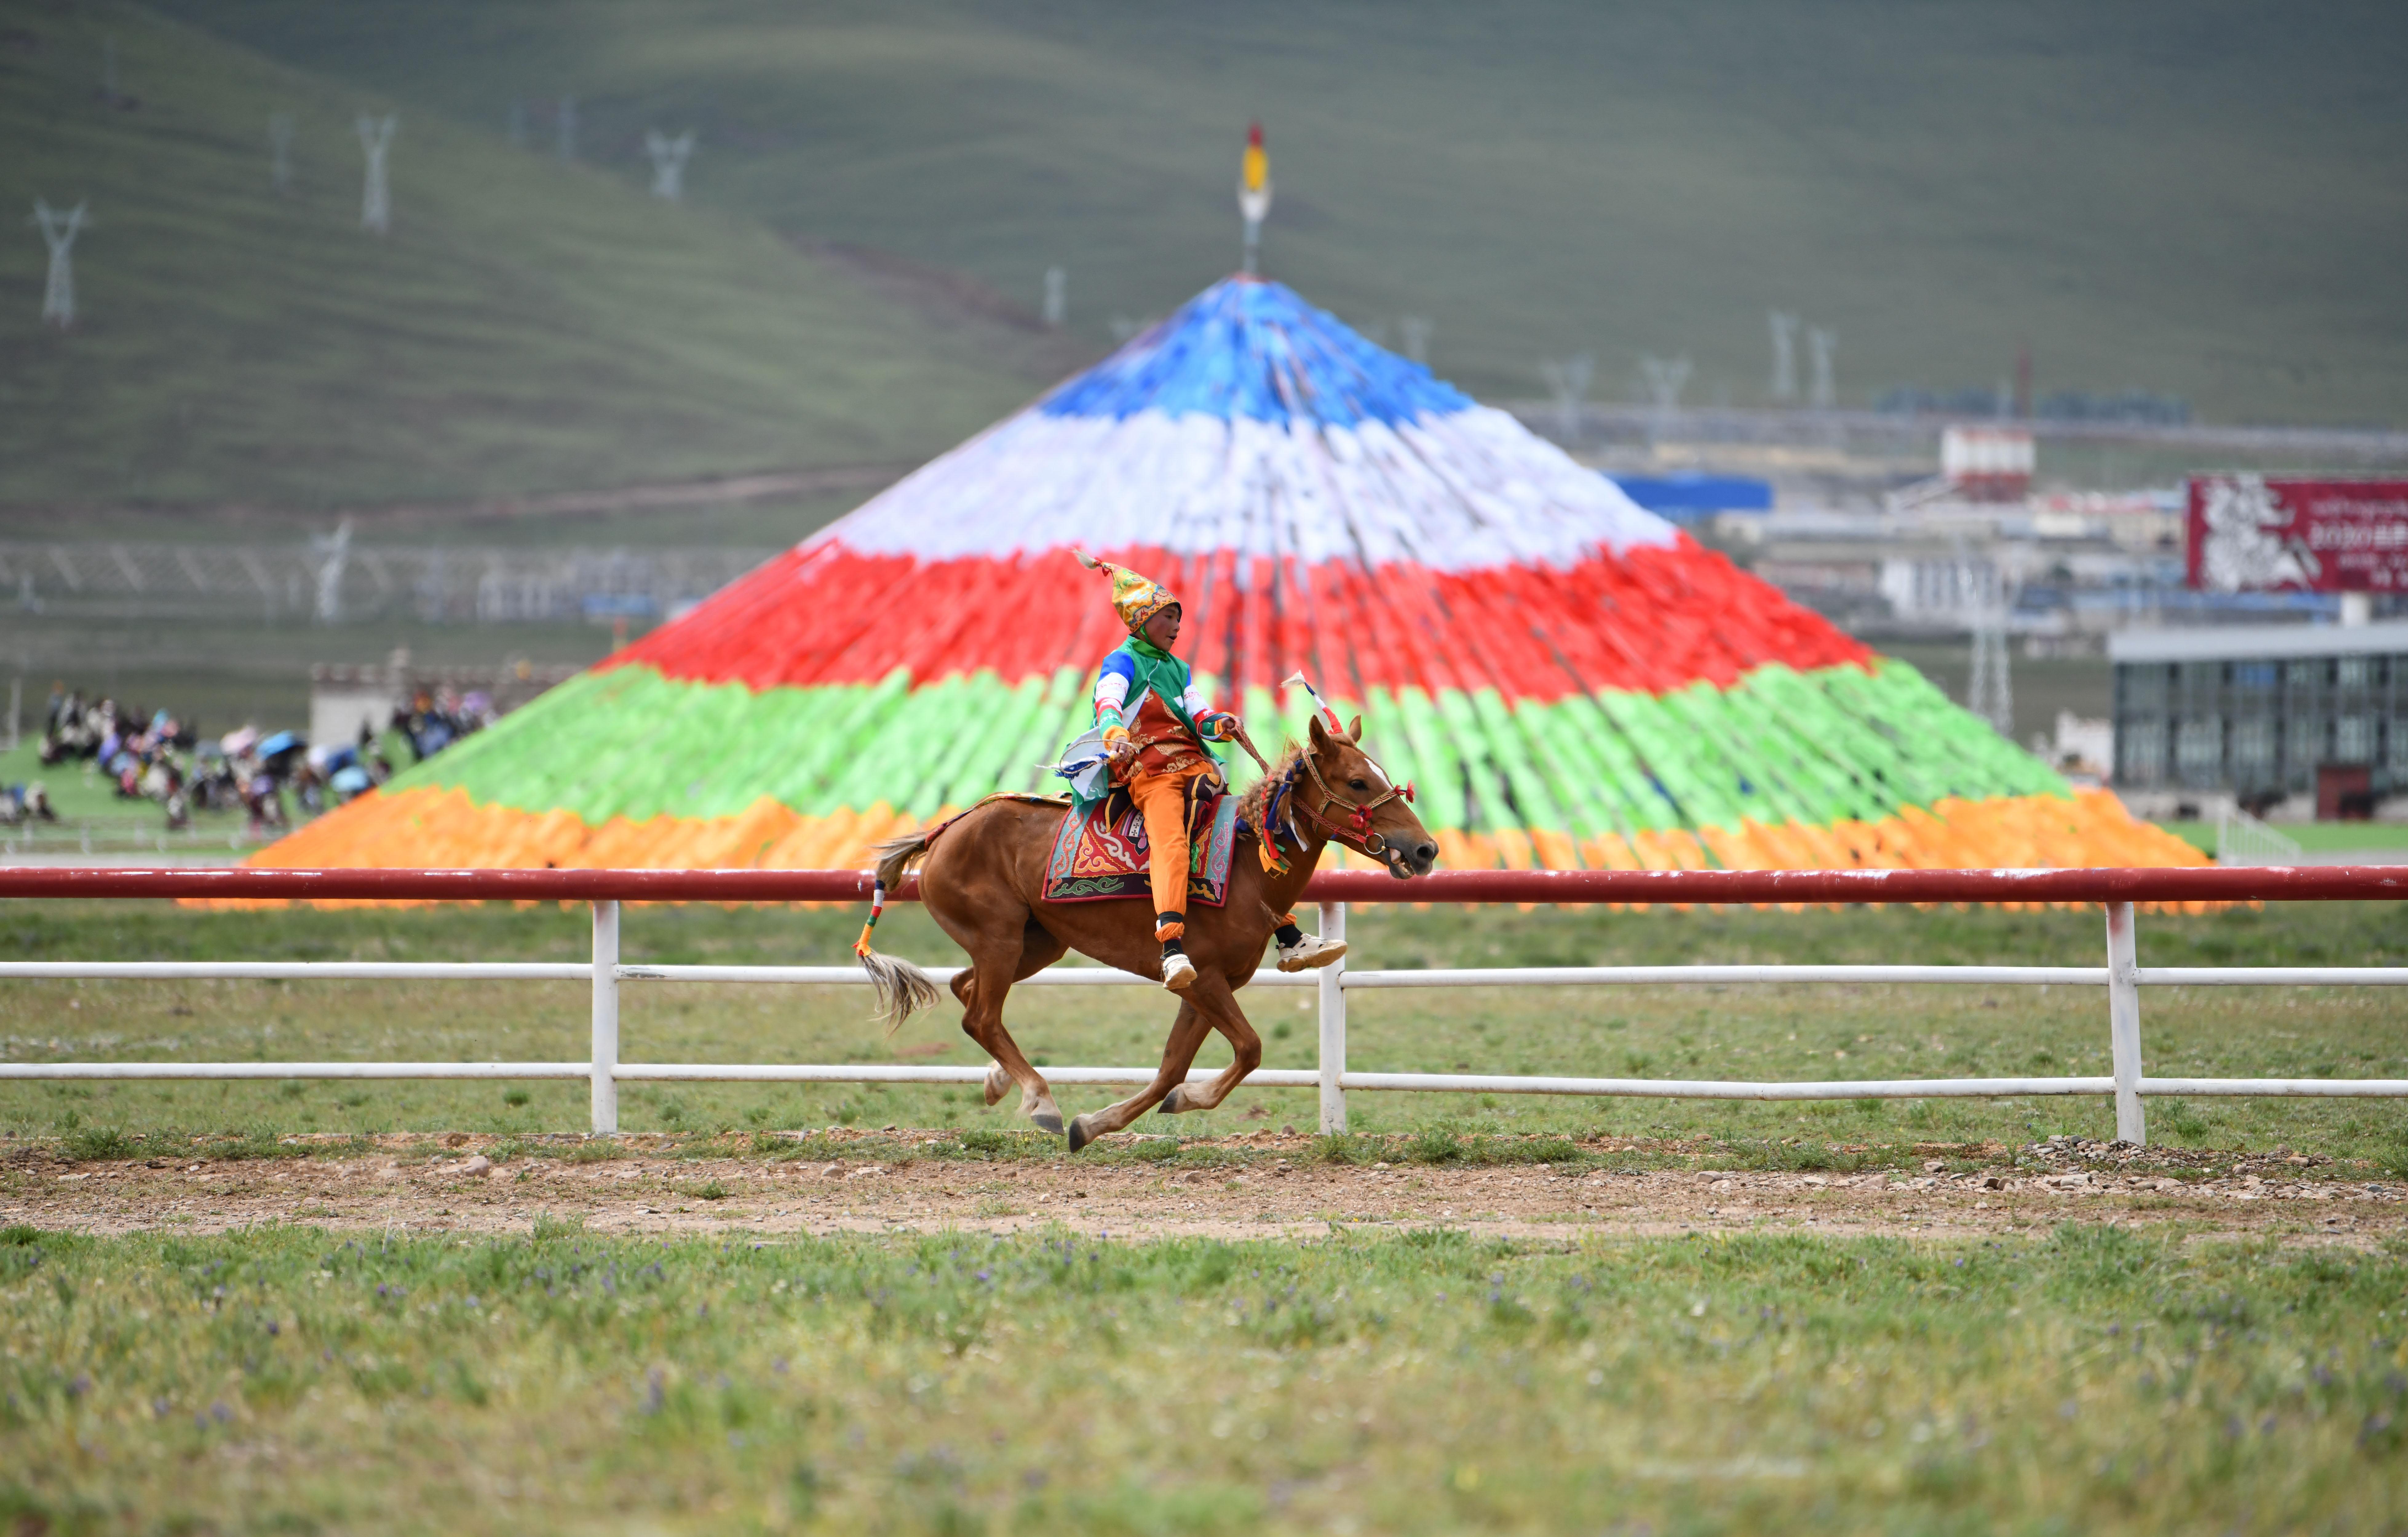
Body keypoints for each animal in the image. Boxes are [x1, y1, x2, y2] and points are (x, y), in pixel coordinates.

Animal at [862, 718, 1425, 1151]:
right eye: (1357, 781)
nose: (1426, 849)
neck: (1246, 865)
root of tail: (945, 829)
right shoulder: (1204, 980)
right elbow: (1249, 1048)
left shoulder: (1207, 987)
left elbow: (1172, 1071)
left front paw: (1097, 1124)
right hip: (999, 940)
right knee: (980, 1015)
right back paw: (1040, 1099)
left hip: (1037, 943)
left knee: (966, 990)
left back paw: (1000, 1080)